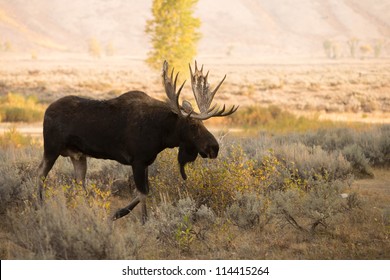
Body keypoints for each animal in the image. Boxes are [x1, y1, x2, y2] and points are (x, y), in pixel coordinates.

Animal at [37, 60, 238, 222]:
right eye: (193, 125)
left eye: (203, 124)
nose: (214, 147)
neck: (162, 134)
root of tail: (46, 110)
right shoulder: (137, 160)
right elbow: (143, 193)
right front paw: (142, 221)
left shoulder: (146, 161)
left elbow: (145, 191)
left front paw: (116, 214)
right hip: (51, 148)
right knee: (40, 172)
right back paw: (39, 205)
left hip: (78, 155)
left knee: (79, 182)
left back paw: (85, 212)